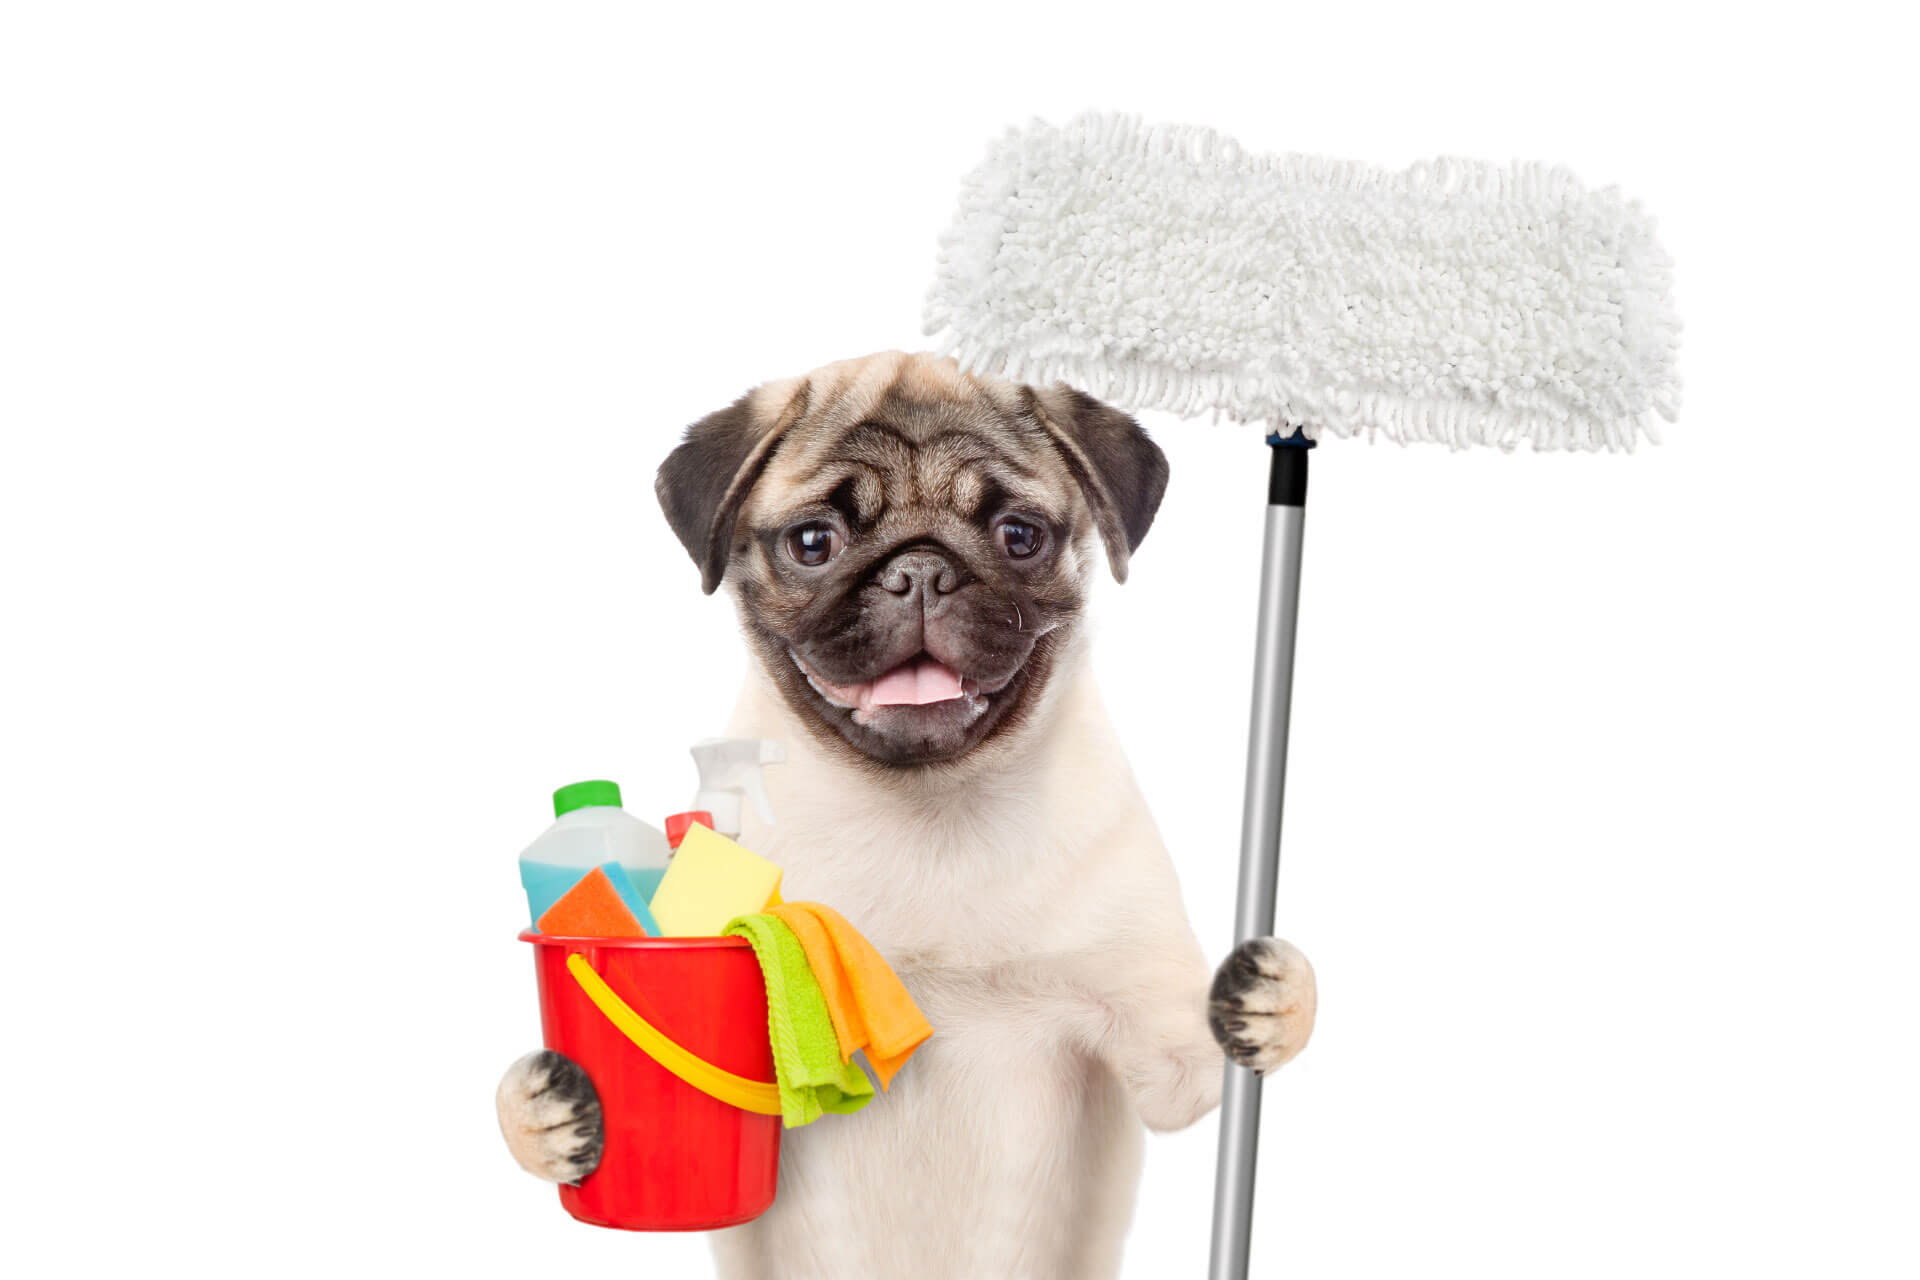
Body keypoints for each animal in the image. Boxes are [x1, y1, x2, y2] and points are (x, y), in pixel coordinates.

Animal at [491, 353, 1320, 1280]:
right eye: (814, 543)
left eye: (1019, 535)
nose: (920, 570)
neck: (926, 812)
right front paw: (543, 1109)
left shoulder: (1160, 1052)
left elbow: (1211, 1056)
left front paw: (1275, 995)